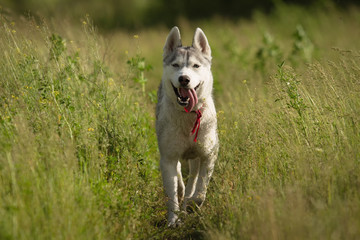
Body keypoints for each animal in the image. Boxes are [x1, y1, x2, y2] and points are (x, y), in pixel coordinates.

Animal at [155, 27, 218, 226]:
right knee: (180, 178)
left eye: (196, 66)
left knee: (193, 177)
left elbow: (200, 191)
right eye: (175, 65)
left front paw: (191, 205)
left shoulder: (209, 155)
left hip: (196, 155)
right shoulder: (168, 156)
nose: (184, 79)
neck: (188, 115)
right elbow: (172, 193)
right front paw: (173, 220)